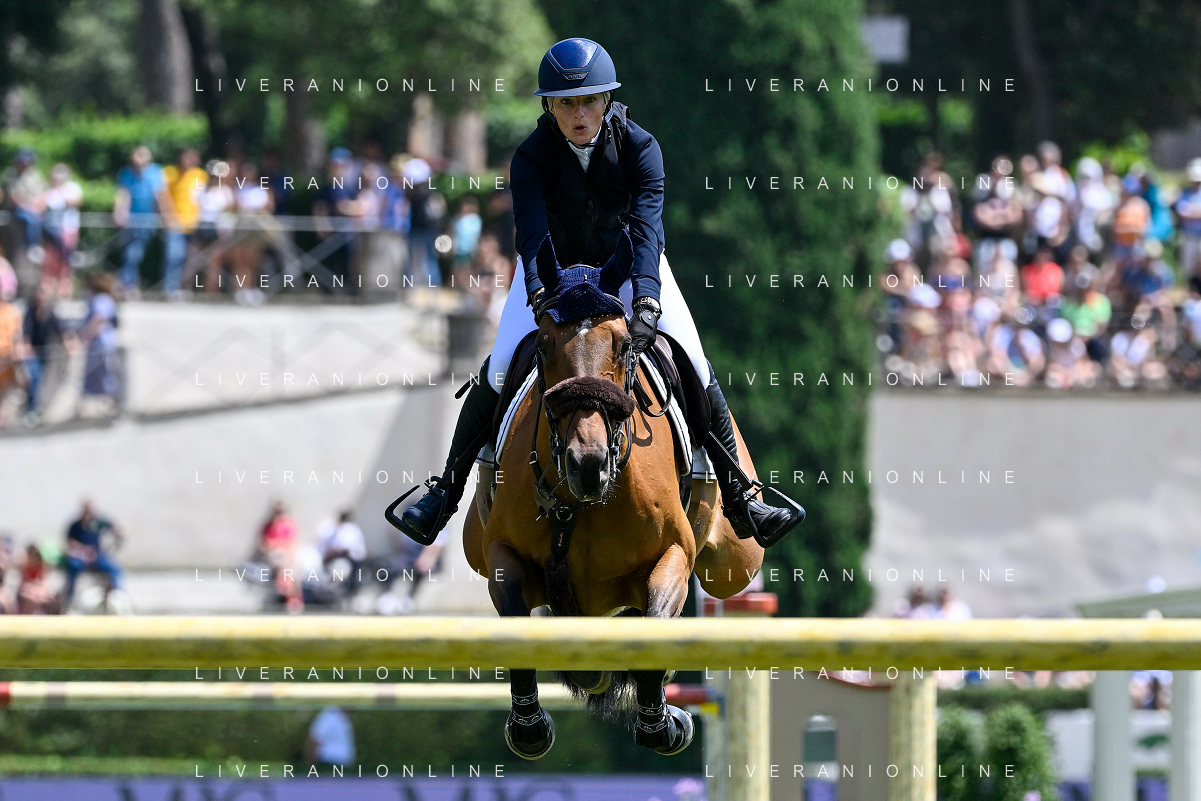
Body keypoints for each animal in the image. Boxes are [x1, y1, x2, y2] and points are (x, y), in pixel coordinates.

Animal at [462, 236, 766, 758]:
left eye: (624, 345)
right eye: (543, 345)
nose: (588, 462)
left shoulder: (673, 554)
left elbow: (654, 629)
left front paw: (665, 724)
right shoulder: (502, 553)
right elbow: (515, 617)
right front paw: (529, 727)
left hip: (735, 564)